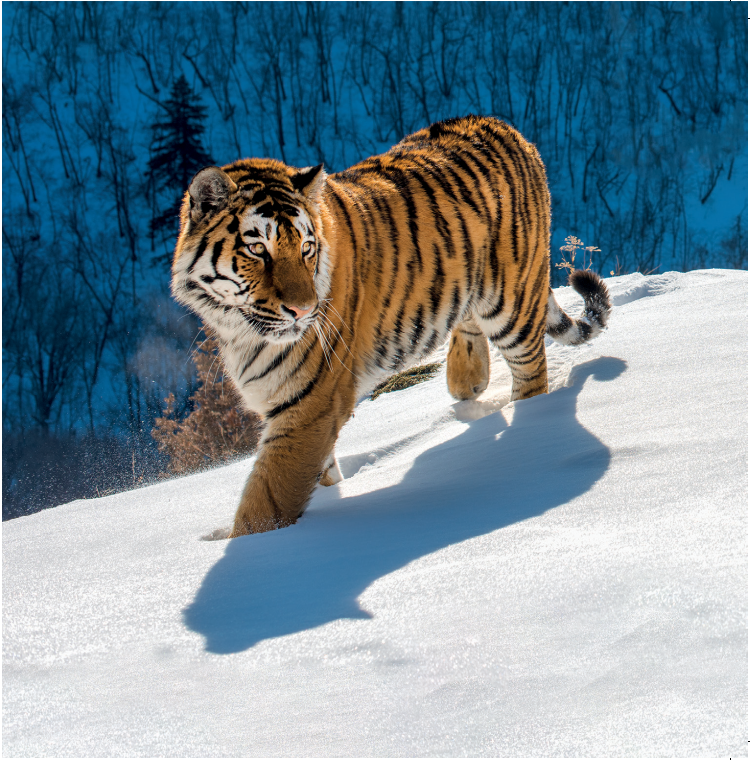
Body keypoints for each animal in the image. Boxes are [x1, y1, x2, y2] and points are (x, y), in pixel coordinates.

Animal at [171, 115, 611, 537]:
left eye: (306, 248)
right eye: (257, 249)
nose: (303, 310)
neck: (237, 329)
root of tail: (511, 130)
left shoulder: (309, 406)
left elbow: (264, 505)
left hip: (512, 302)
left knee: (531, 373)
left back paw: (528, 418)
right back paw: (466, 380)